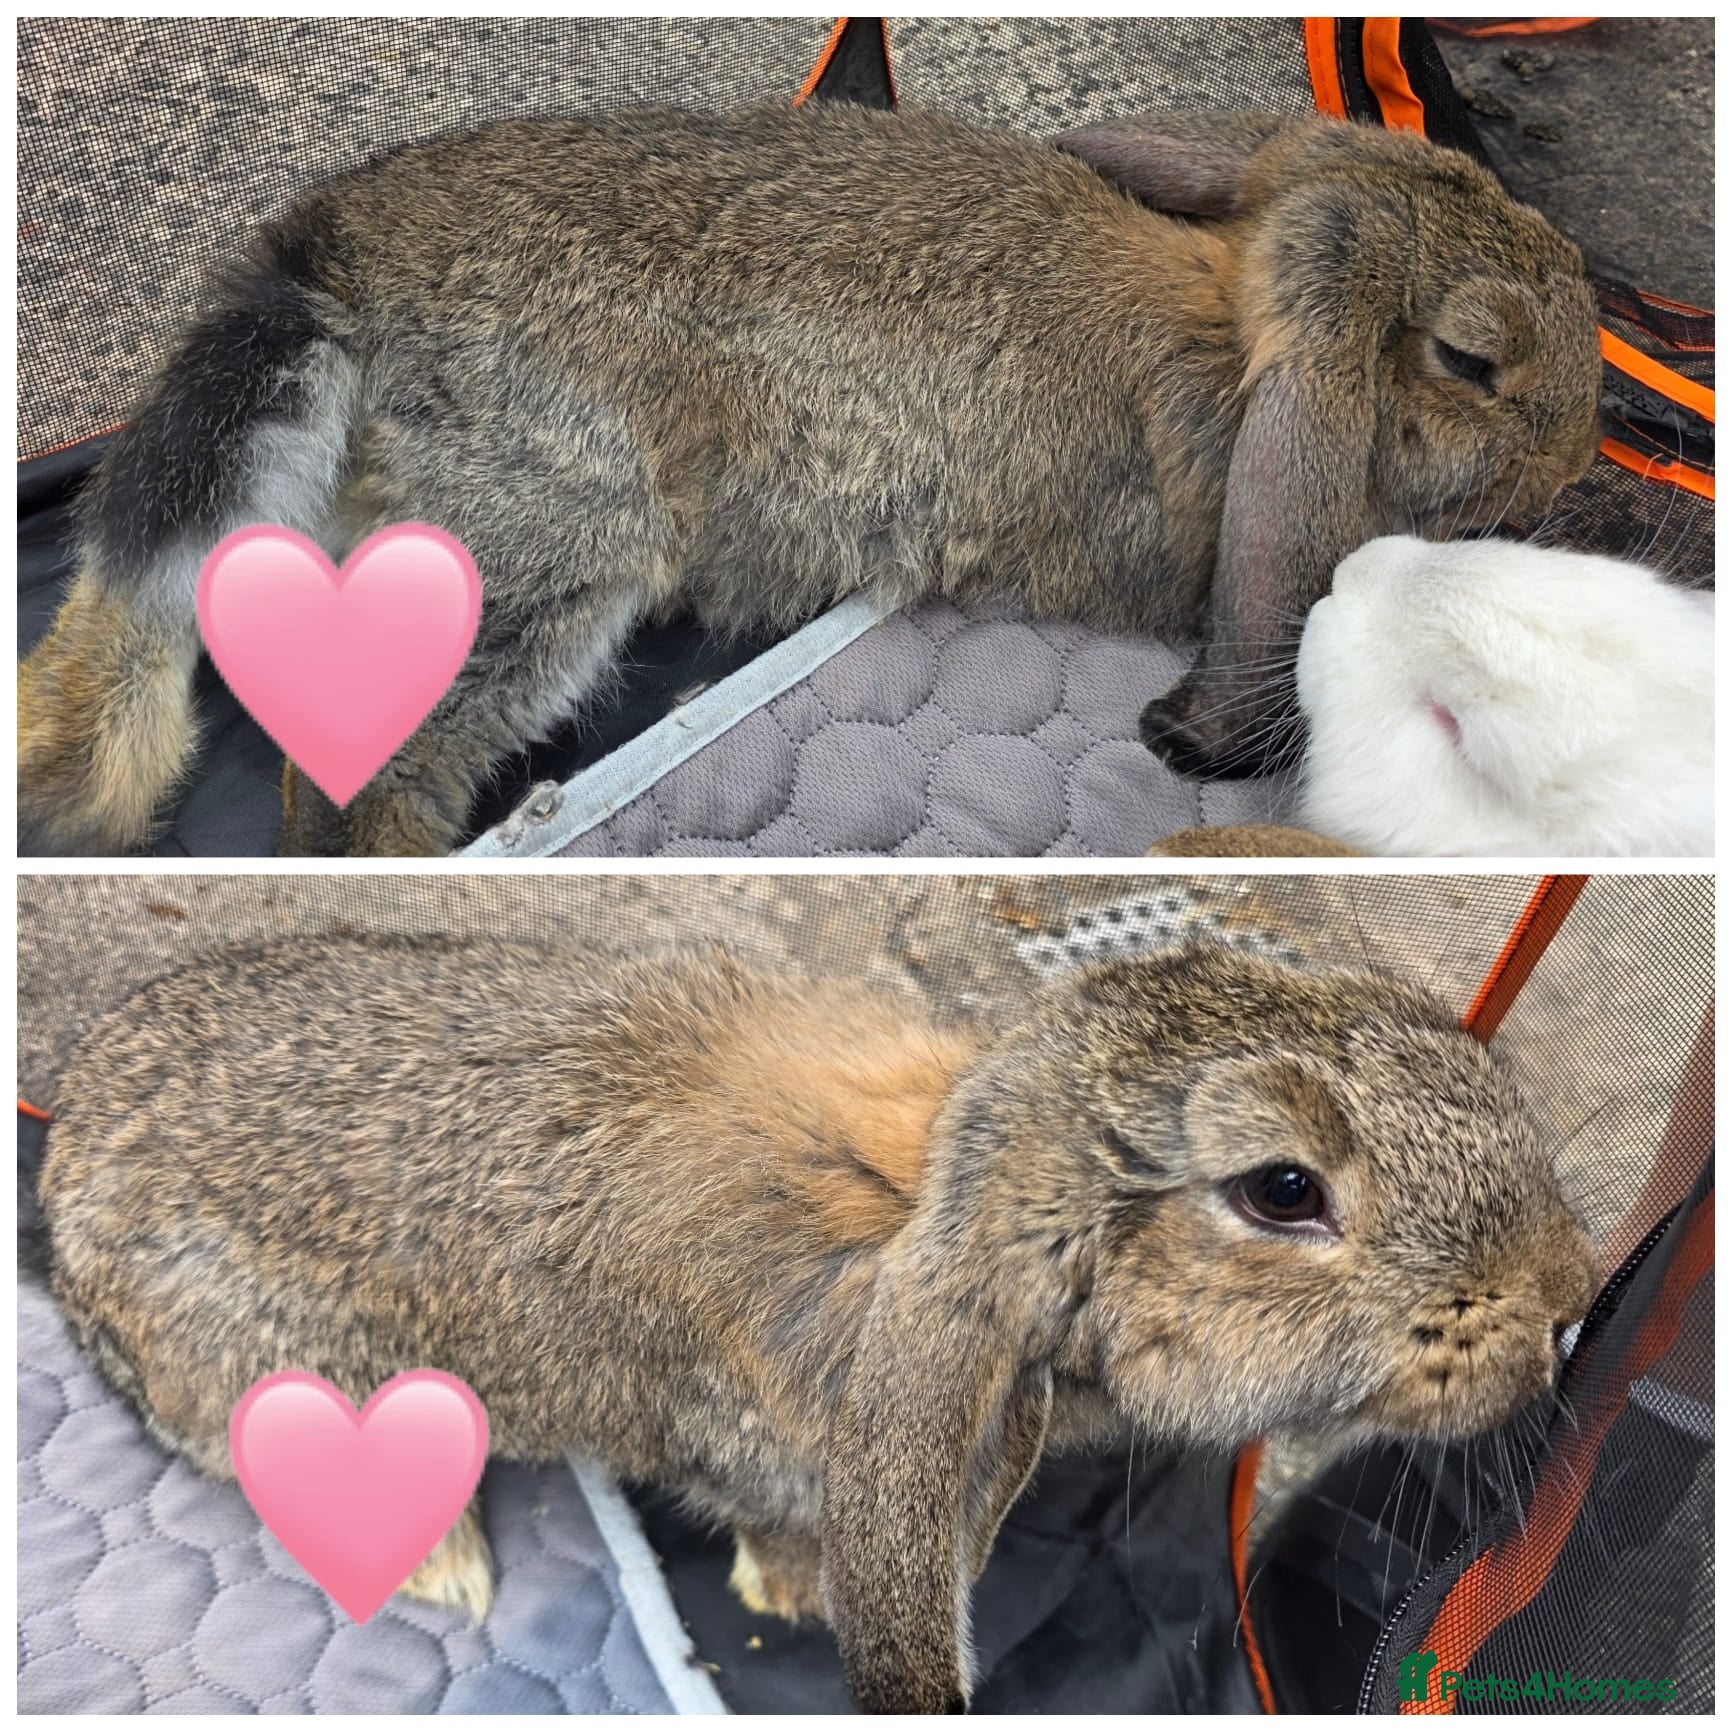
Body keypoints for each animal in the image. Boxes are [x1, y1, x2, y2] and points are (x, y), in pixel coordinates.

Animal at [18, 101, 1603, 856]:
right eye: (1472, 359)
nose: (1581, 452)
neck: (1241, 326)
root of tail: (339, 255)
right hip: (535, 545)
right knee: (363, 778)